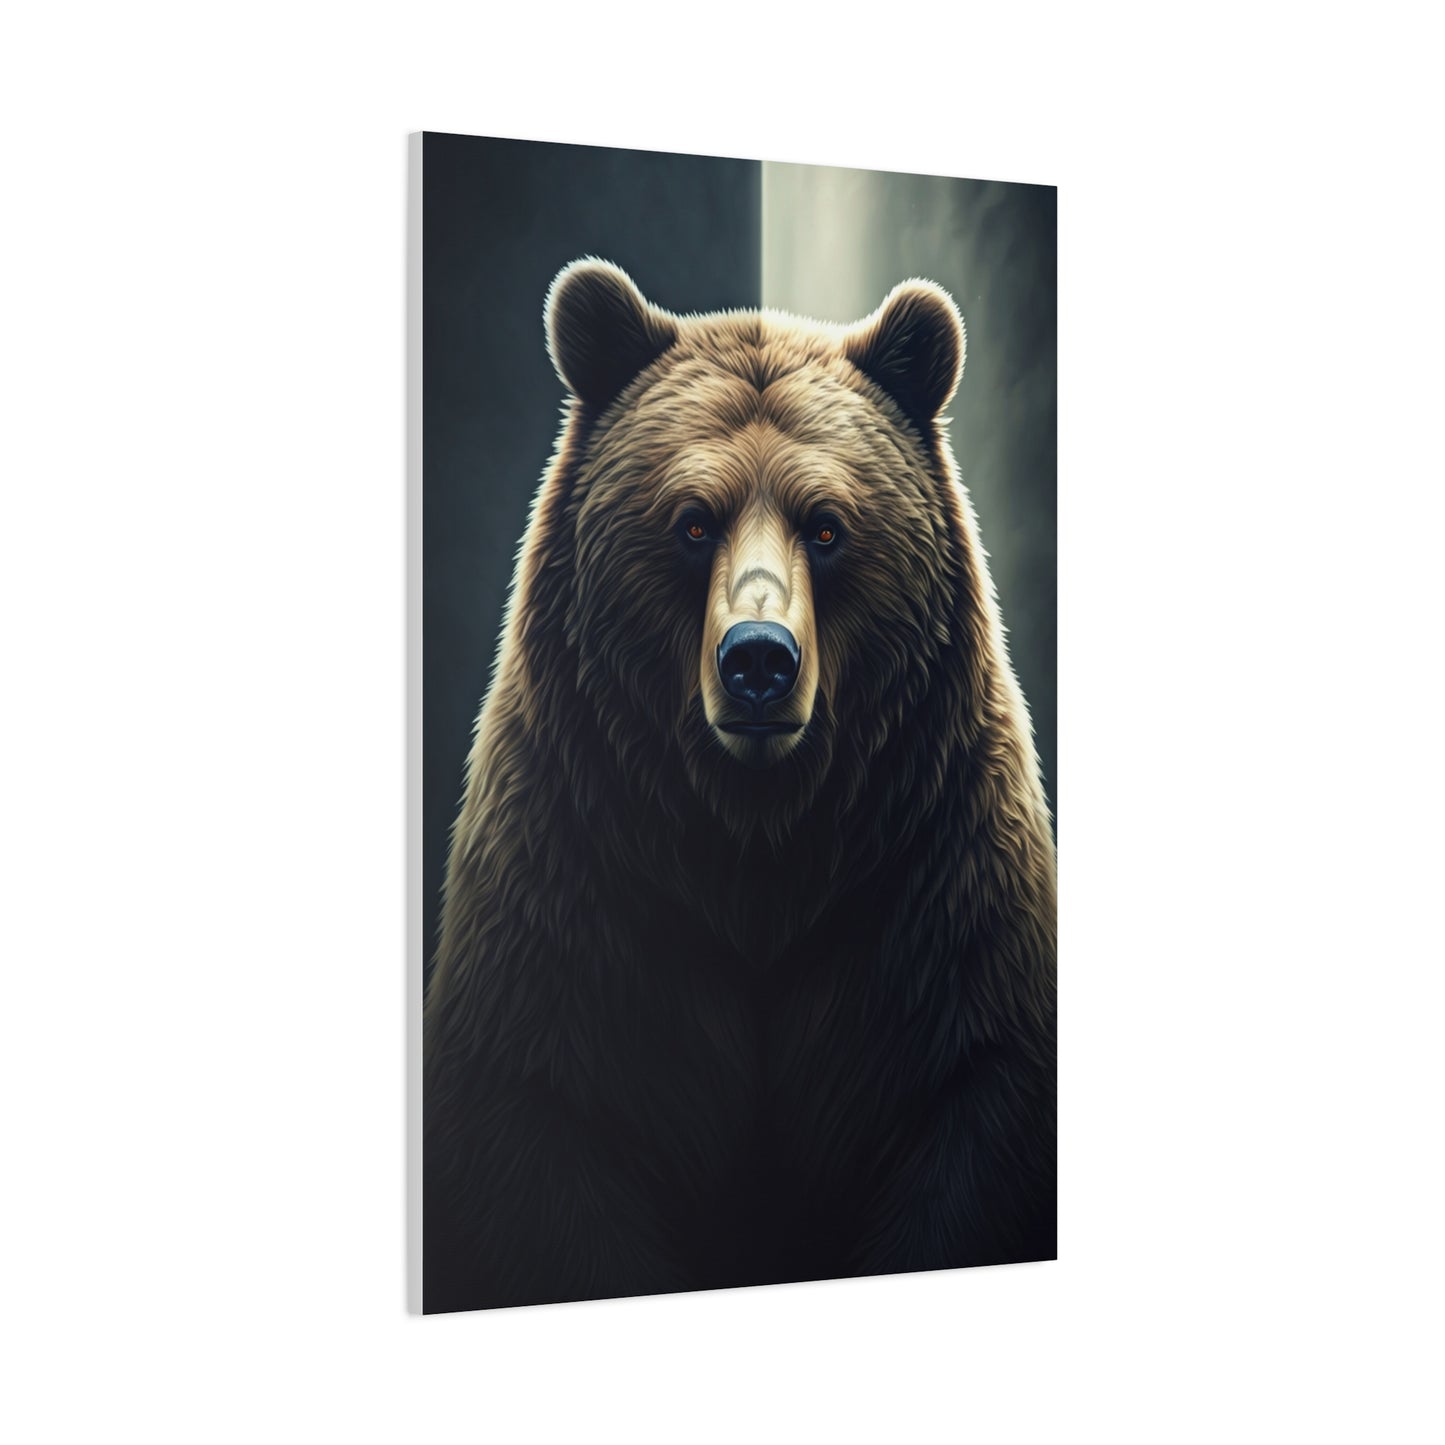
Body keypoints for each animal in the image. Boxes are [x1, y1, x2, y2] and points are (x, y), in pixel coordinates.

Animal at [423, 259, 1057, 1312]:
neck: (756, 848)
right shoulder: (575, 891)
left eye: (828, 526)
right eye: (690, 520)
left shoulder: (931, 895)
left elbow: (968, 1107)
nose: (758, 657)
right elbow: (545, 1138)